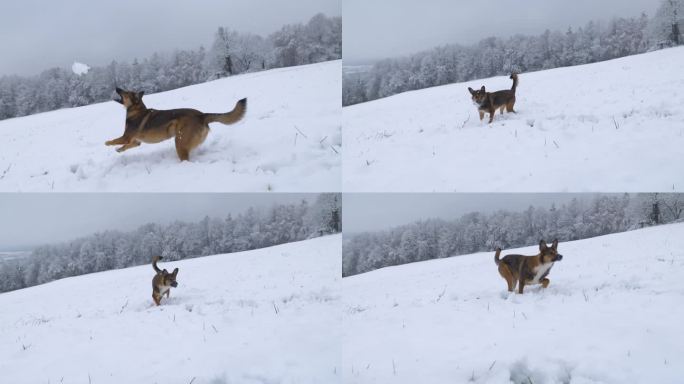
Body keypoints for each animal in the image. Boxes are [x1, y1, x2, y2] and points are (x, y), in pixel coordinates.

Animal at [105, 88, 247, 161]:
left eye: (125, 92)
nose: (117, 87)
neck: (136, 109)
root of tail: (202, 115)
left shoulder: (127, 137)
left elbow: (115, 140)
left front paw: (107, 143)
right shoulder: (135, 141)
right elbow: (125, 146)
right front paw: (119, 150)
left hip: (179, 142)